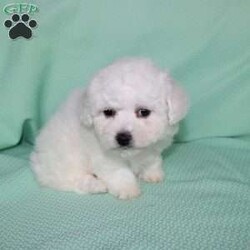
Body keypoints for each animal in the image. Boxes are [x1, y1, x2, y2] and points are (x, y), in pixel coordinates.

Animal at [30, 58, 188, 199]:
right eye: (108, 112)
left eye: (144, 112)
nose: (122, 137)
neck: (131, 155)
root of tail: (37, 159)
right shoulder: (104, 157)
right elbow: (119, 172)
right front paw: (128, 189)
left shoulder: (153, 148)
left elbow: (153, 159)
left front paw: (152, 173)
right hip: (65, 157)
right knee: (68, 179)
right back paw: (95, 185)